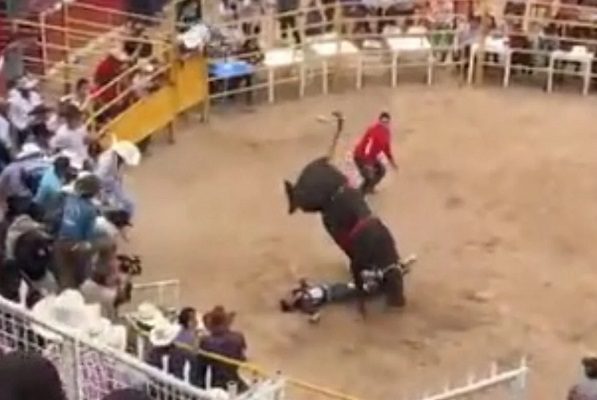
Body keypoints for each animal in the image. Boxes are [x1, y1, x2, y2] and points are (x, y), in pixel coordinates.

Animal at [284, 158, 406, 308]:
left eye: (402, 282)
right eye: (392, 285)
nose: (400, 303)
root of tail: (319, 163)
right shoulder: (356, 265)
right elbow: (360, 290)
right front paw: (362, 309)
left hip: (315, 204)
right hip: (310, 200)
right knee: (297, 195)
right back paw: (289, 196)